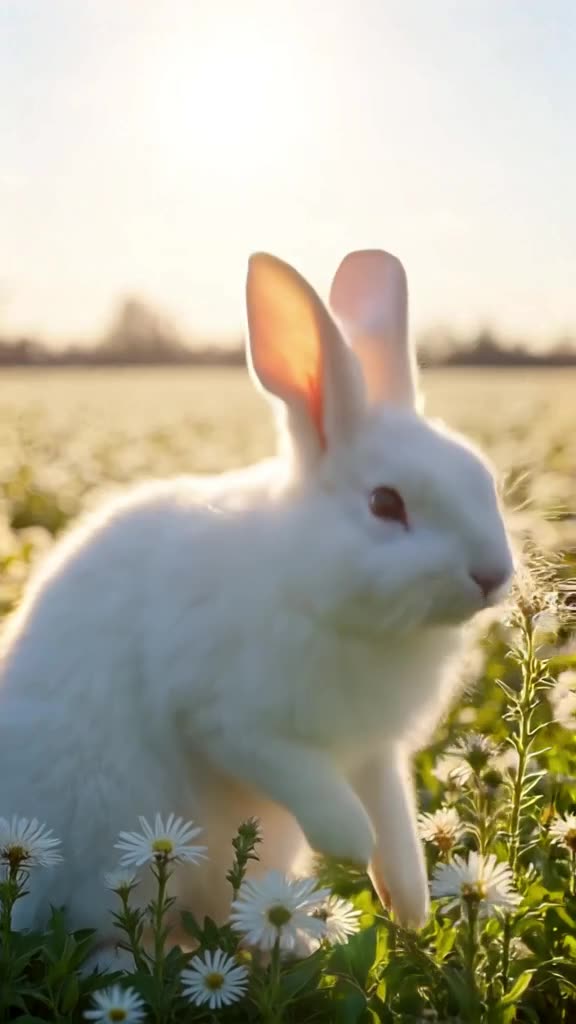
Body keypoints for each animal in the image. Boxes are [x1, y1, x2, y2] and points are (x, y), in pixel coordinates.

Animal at [0, 249, 514, 967]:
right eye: (385, 503)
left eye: (484, 479)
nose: (493, 576)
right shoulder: (228, 721)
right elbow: (312, 784)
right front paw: (350, 842)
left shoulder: (373, 747)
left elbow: (394, 812)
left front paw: (408, 904)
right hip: (110, 850)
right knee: (104, 929)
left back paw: (293, 937)